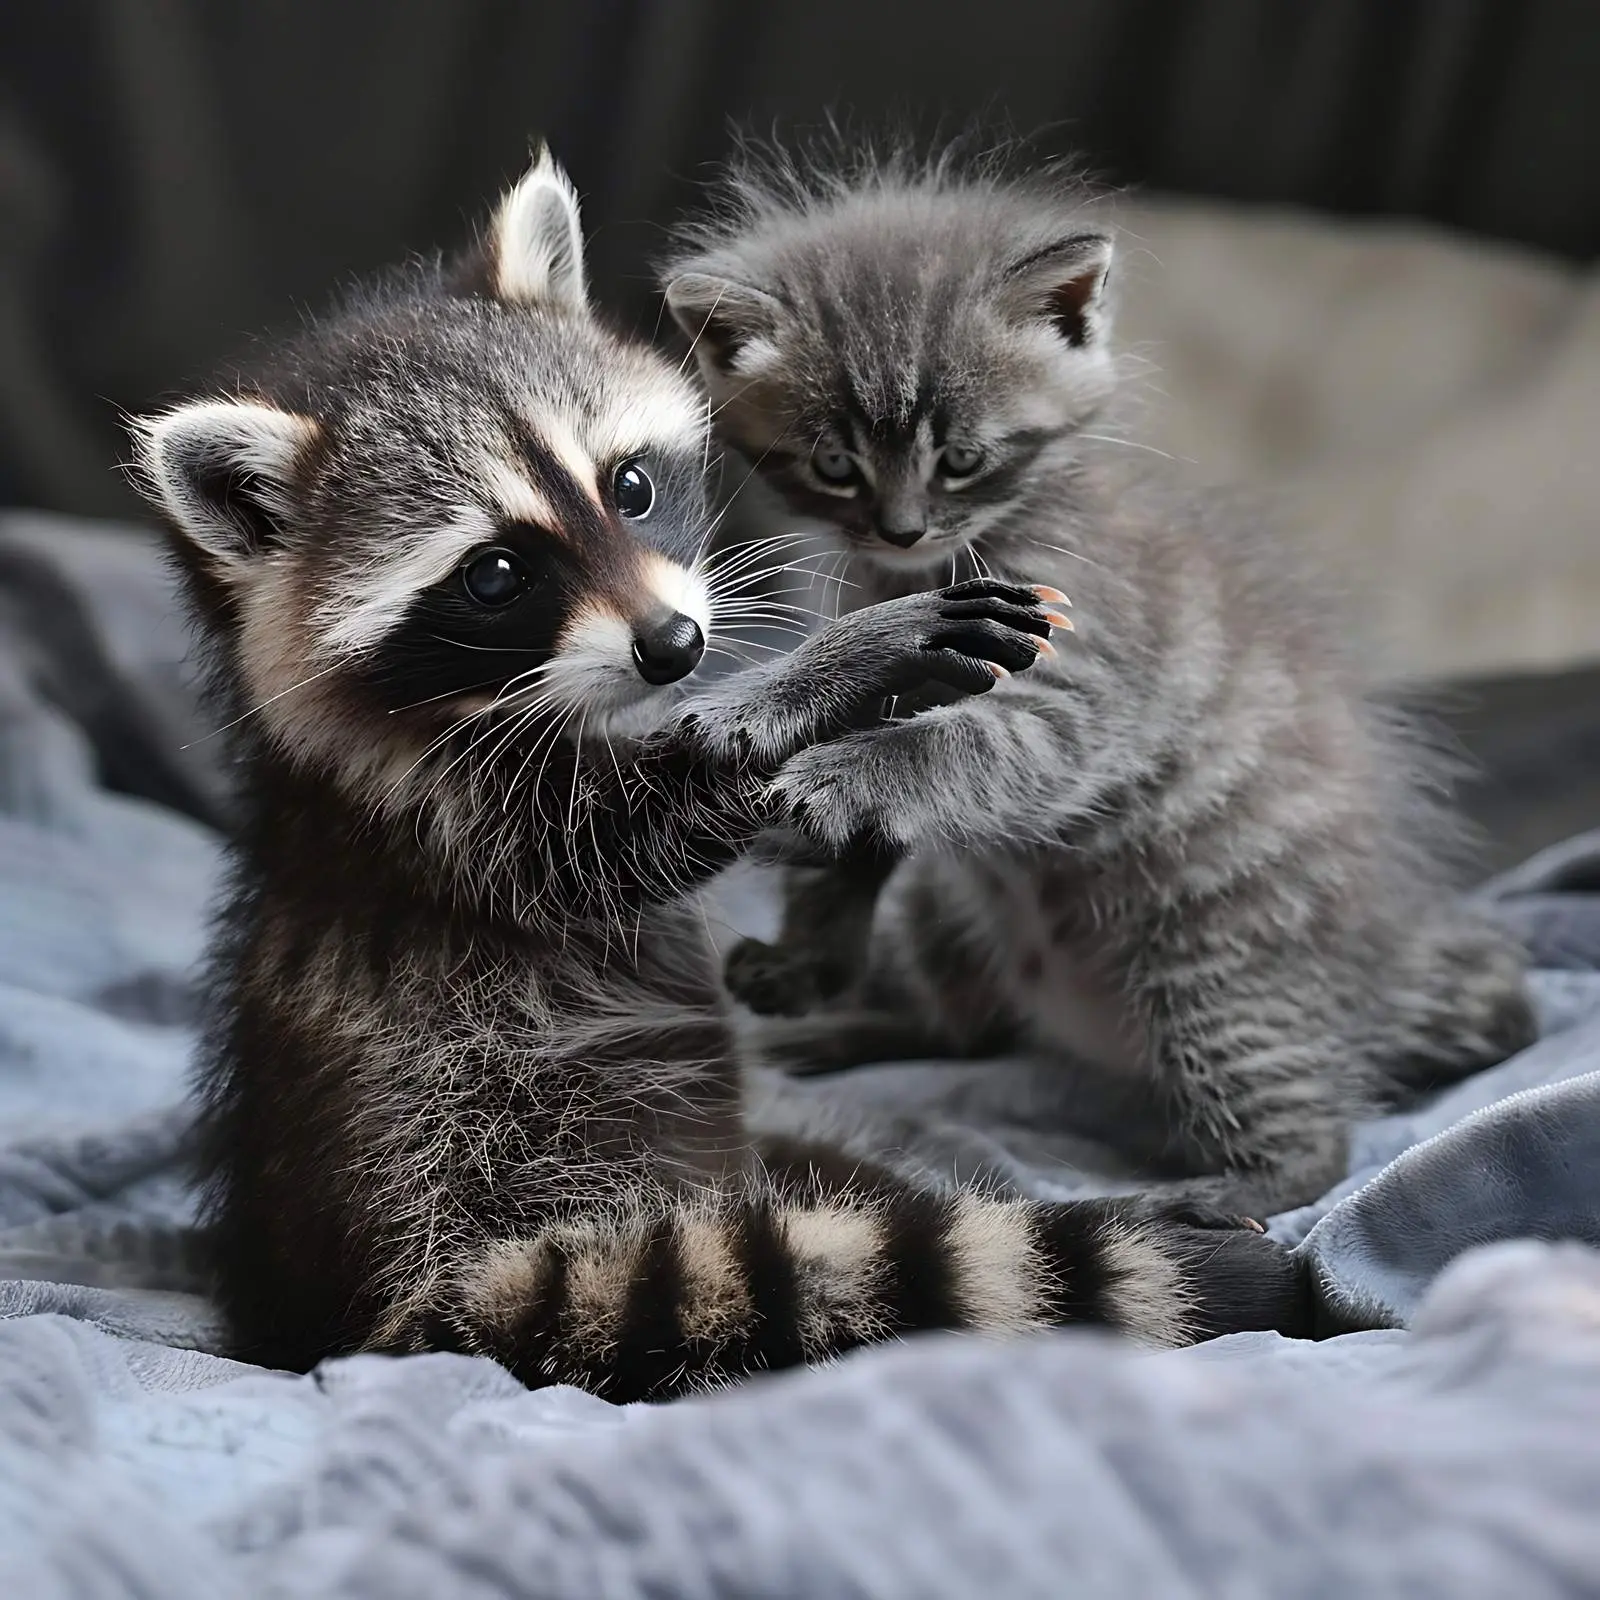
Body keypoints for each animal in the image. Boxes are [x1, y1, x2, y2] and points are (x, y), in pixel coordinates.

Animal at [127, 151, 1303, 1399]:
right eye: (495, 574)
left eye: (630, 486)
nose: (674, 646)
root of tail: (354, 1316)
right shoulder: (438, 817)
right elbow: (615, 844)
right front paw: (835, 667)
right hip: (509, 1165)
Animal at [662, 135, 1537, 1217]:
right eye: (834, 466)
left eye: (961, 458)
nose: (901, 530)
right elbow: (865, 806)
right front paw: (806, 942)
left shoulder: (1079, 687)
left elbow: (953, 751)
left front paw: (807, 759)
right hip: (948, 909)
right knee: (966, 1027)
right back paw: (826, 1030)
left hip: (1213, 970)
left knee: (1314, 1147)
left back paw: (1198, 1197)